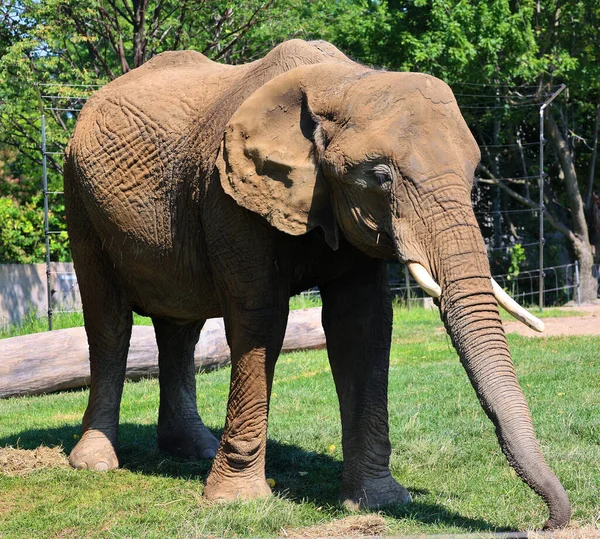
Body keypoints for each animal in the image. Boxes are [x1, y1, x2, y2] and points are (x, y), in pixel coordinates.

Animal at [63, 39, 568, 532]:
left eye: (473, 172)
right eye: (379, 177)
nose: (546, 523)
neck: (343, 83)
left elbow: (362, 324)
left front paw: (378, 500)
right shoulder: (226, 195)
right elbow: (260, 318)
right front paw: (237, 502)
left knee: (180, 327)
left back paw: (193, 449)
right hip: (79, 199)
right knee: (109, 323)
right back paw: (95, 462)